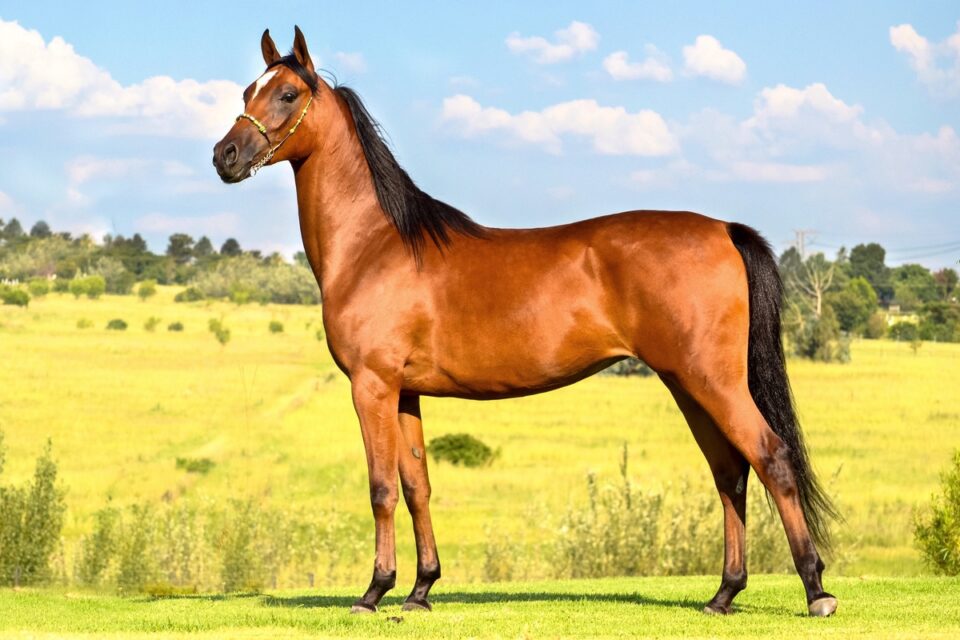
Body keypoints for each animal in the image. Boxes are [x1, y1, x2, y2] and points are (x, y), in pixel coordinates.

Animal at [212, 26, 839, 617]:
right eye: (247, 91)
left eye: (287, 93)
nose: (226, 155)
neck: (376, 244)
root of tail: (724, 230)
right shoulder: (405, 392)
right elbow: (418, 486)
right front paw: (421, 589)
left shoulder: (372, 386)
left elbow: (382, 489)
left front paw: (374, 591)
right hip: (688, 384)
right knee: (730, 473)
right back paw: (724, 593)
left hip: (713, 381)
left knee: (772, 458)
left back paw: (815, 590)